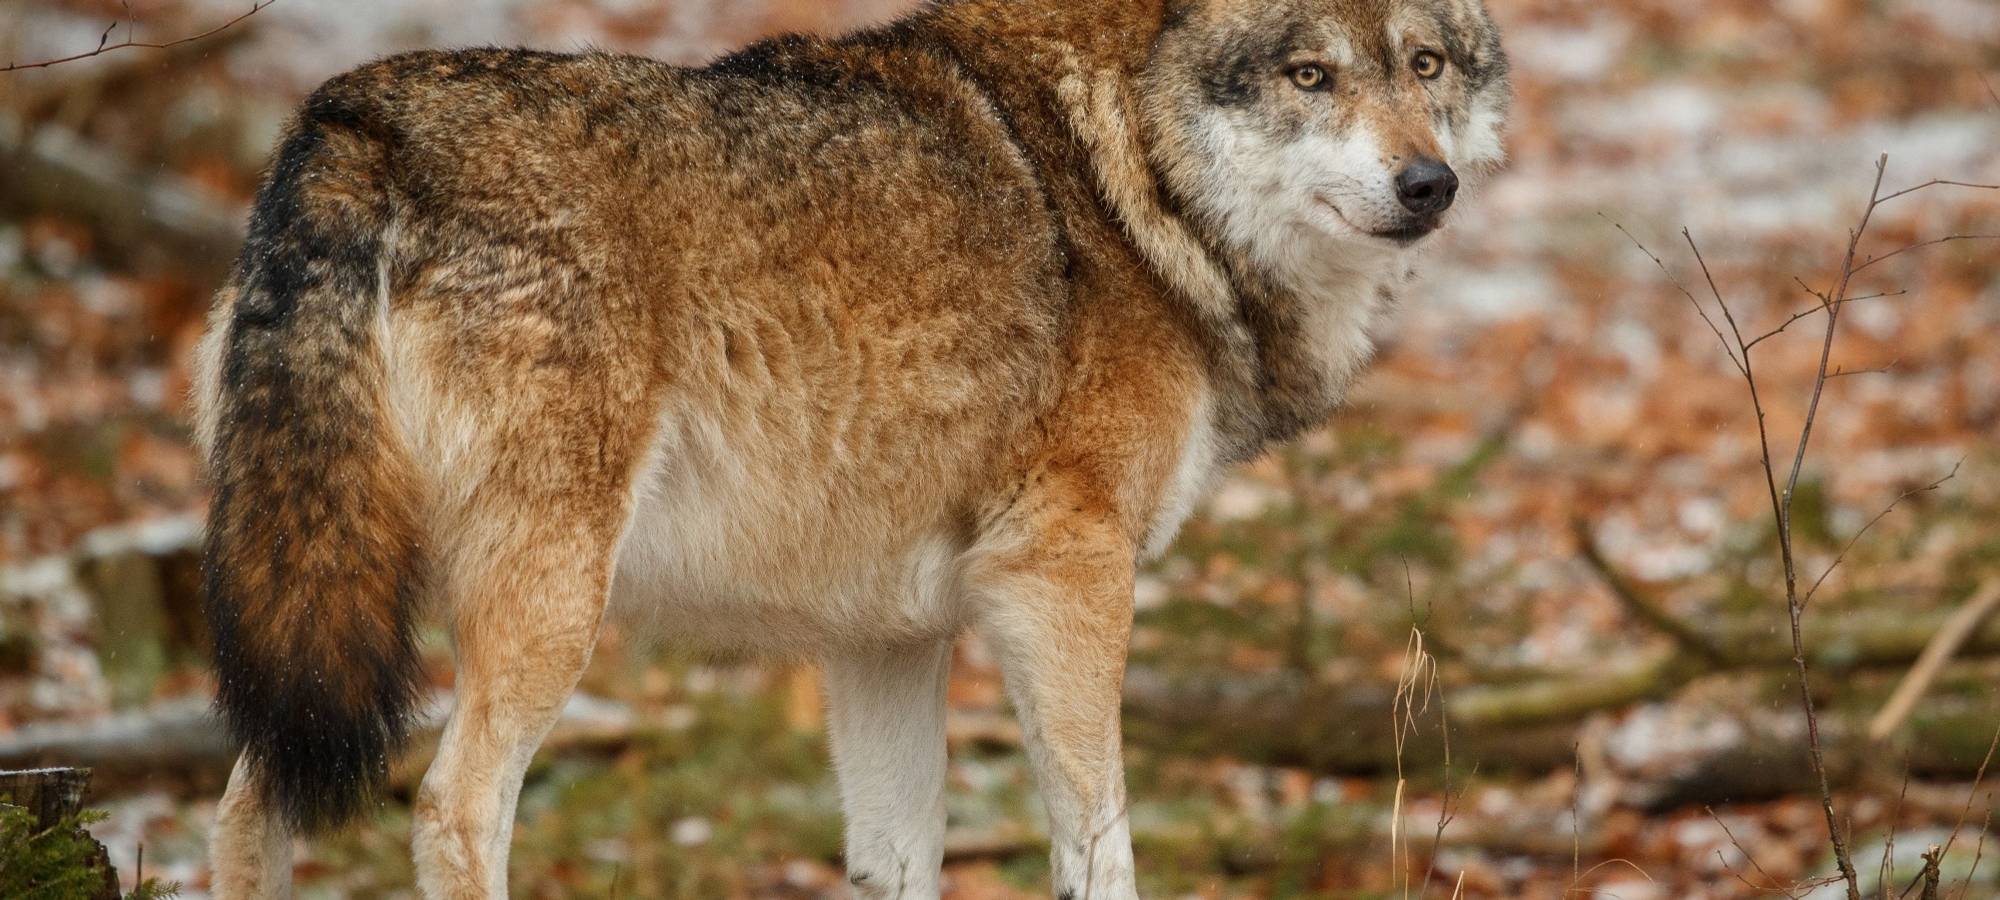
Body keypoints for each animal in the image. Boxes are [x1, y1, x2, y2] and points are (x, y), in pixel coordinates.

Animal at [193, 0, 1508, 895]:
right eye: (1308, 74)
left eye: (1424, 64)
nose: (1427, 184)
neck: (1131, 172)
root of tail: (354, 120)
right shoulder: (1062, 577)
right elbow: (1100, 847)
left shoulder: (885, 638)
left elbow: (894, 857)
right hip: (541, 605)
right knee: (446, 812)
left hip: (335, 597)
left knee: (251, 801)